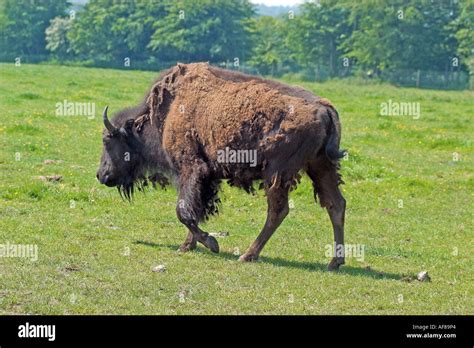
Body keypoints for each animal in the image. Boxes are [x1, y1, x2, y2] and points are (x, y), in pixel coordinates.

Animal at [97, 61, 348, 270]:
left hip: (278, 173)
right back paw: (334, 262)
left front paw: (210, 242)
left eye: (108, 141)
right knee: (335, 204)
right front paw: (187, 245)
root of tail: (324, 107)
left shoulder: (190, 168)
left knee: (278, 210)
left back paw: (248, 255)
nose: (101, 175)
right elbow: (195, 209)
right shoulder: (204, 176)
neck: (167, 111)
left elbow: (183, 210)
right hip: (320, 166)